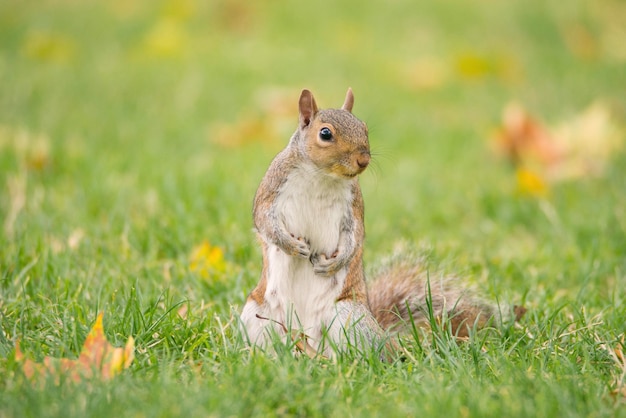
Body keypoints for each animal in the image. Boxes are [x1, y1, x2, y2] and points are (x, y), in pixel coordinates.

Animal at [239, 89, 520, 360]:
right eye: (325, 133)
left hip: (349, 316)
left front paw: (335, 262)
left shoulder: (354, 207)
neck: (321, 176)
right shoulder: (271, 189)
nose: (363, 160)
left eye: (364, 127)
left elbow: (355, 237)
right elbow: (263, 221)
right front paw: (291, 245)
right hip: (255, 315)